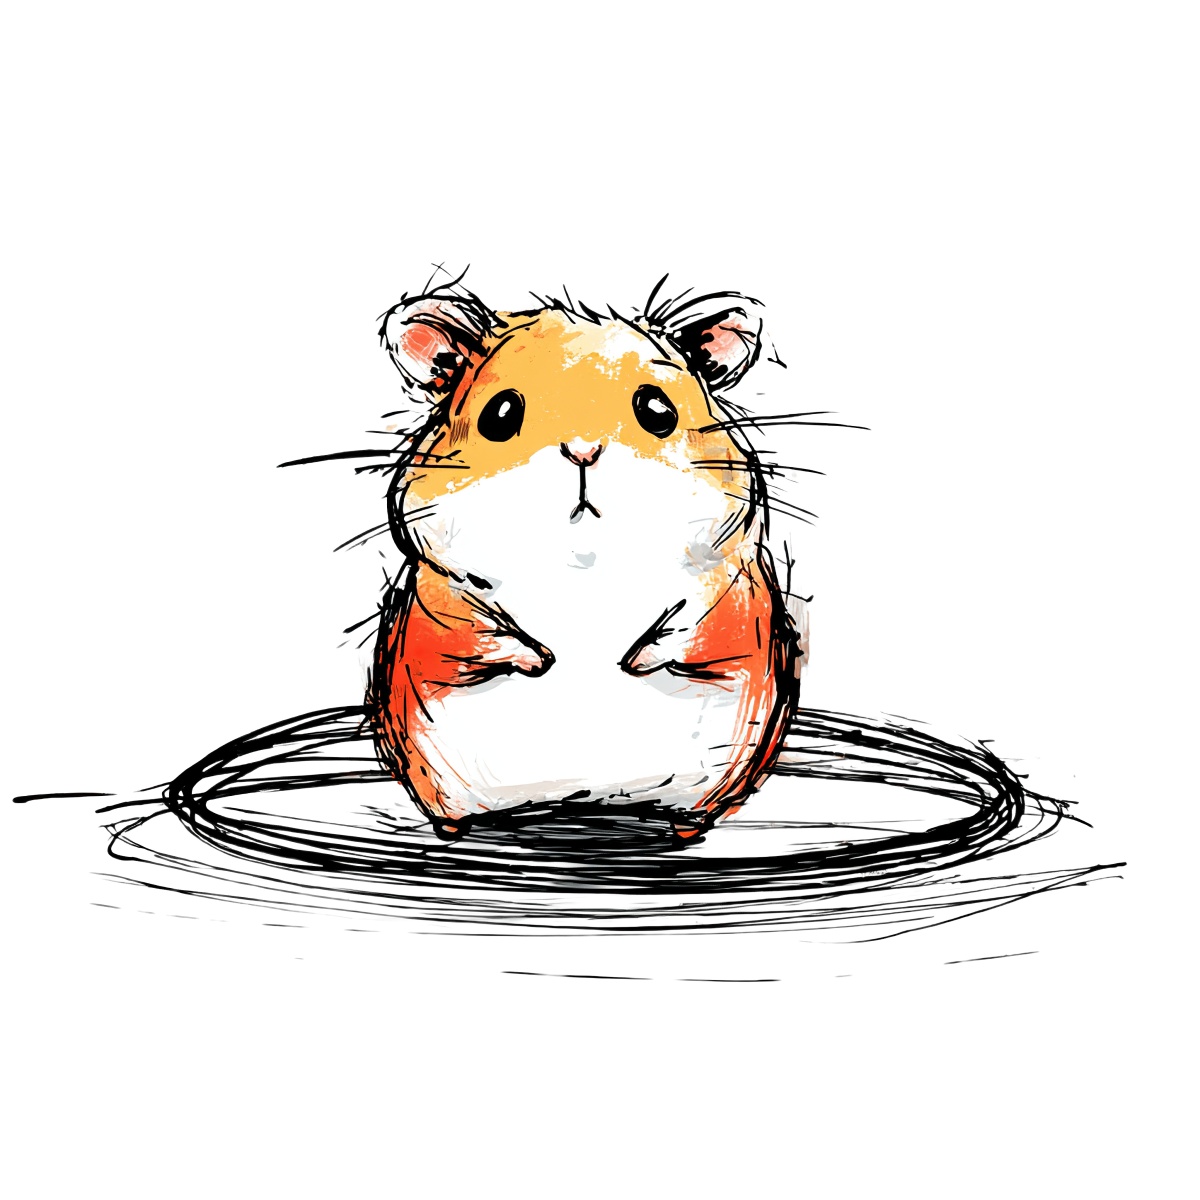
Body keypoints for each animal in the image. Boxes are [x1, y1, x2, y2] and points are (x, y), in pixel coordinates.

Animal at [367, 278, 803, 839]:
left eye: (657, 409)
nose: (582, 450)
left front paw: (633, 660)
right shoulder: (443, 599)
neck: (585, 573)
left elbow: (693, 629)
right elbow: (481, 632)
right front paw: (542, 659)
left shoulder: (729, 591)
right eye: (500, 414)